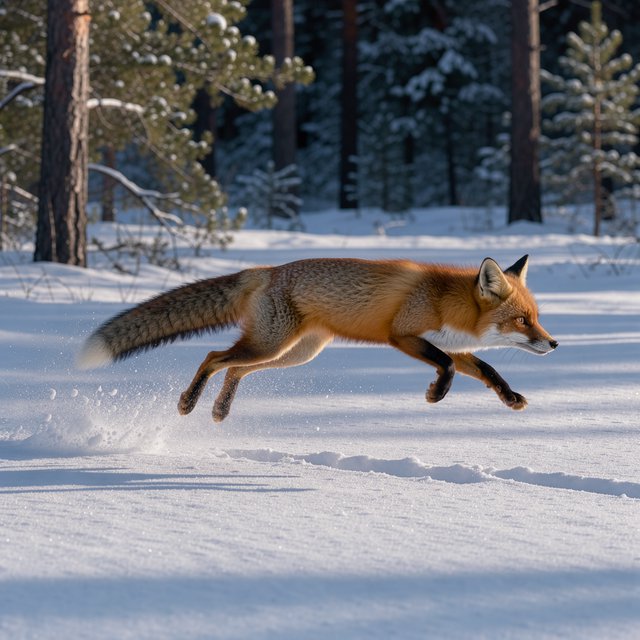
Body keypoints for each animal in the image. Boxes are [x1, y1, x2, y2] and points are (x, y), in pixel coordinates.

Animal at [78, 254, 557, 422]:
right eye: (522, 321)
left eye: (535, 319)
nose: (554, 344)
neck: (444, 300)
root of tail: (265, 270)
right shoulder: (403, 336)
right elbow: (445, 366)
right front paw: (435, 395)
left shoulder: (459, 349)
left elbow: (488, 368)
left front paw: (511, 398)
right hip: (272, 345)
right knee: (214, 356)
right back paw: (189, 403)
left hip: (293, 355)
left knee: (235, 369)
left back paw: (219, 409)